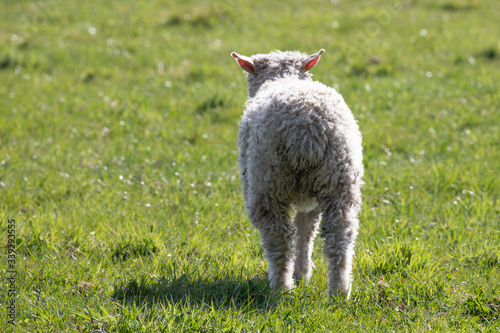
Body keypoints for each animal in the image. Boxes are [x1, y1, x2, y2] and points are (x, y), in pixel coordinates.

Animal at [230, 48, 364, 298]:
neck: (283, 78)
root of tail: (306, 128)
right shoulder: (309, 201)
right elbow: (305, 231)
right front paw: (302, 274)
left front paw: (297, 276)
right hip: (339, 178)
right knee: (340, 235)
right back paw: (339, 291)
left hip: (267, 179)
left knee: (278, 236)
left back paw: (280, 286)